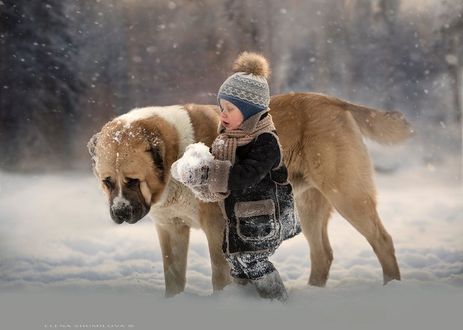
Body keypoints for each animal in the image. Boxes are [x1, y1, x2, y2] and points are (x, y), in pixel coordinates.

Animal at [88, 92, 414, 296]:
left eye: (133, 180)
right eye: (107, 182)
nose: (119, 213)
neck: (173, 158)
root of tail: (333, 101)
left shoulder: (216, 228)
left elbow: (219, 275)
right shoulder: (170, 229)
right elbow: (173, 277)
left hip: (346, 194)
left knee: (382, 240)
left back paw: (392, 285)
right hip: (307, 206)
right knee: (323, 254)